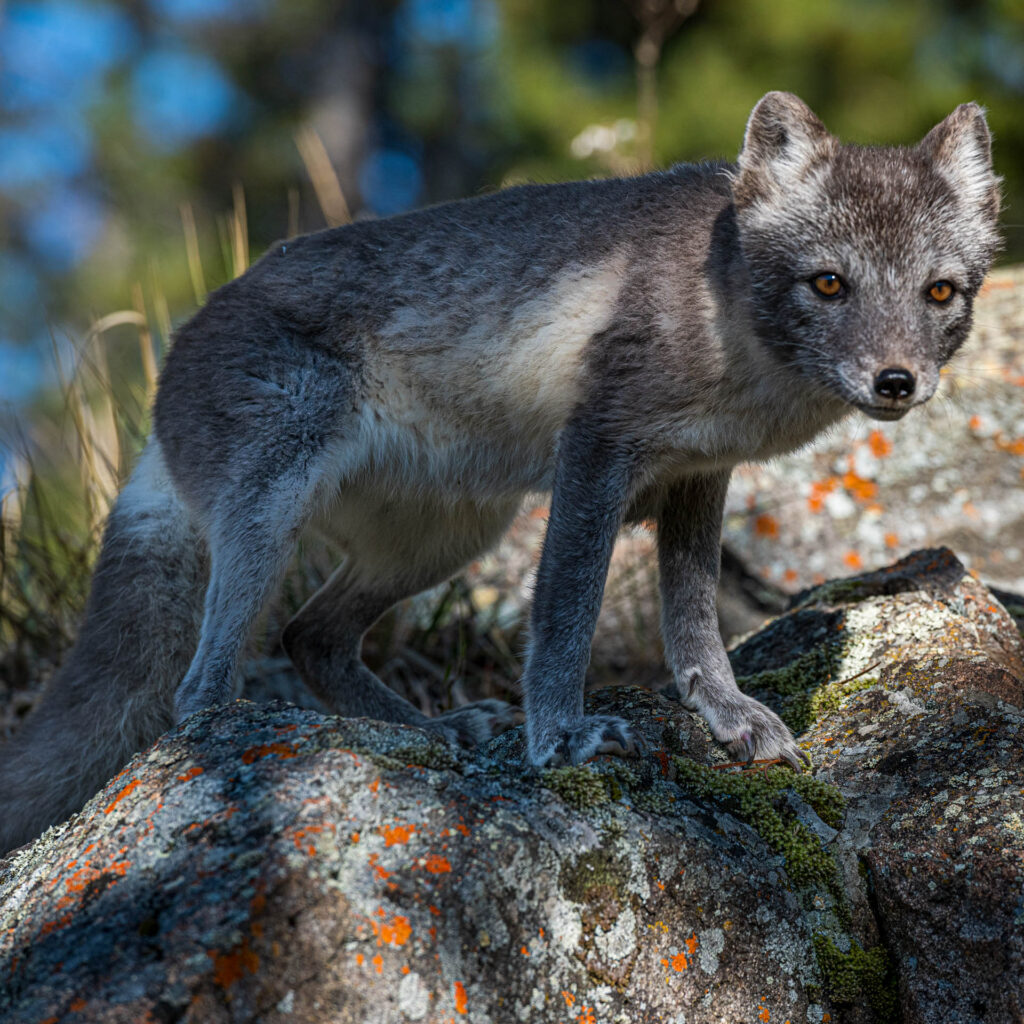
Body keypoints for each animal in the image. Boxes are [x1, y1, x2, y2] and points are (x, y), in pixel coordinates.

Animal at [0, 92, 995, 851]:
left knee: (311, 637)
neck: (729, 322)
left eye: (940, 292)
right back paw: (238, 755)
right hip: (273, 511)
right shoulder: (594, 454)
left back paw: (433, 733)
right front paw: (561, 740)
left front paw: (730, 720)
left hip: (447, 539)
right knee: (199, 689)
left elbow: (694, 629)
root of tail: (167, 378)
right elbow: (564, 617)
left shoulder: (696, 478)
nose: (897, 382)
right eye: (829, 284)